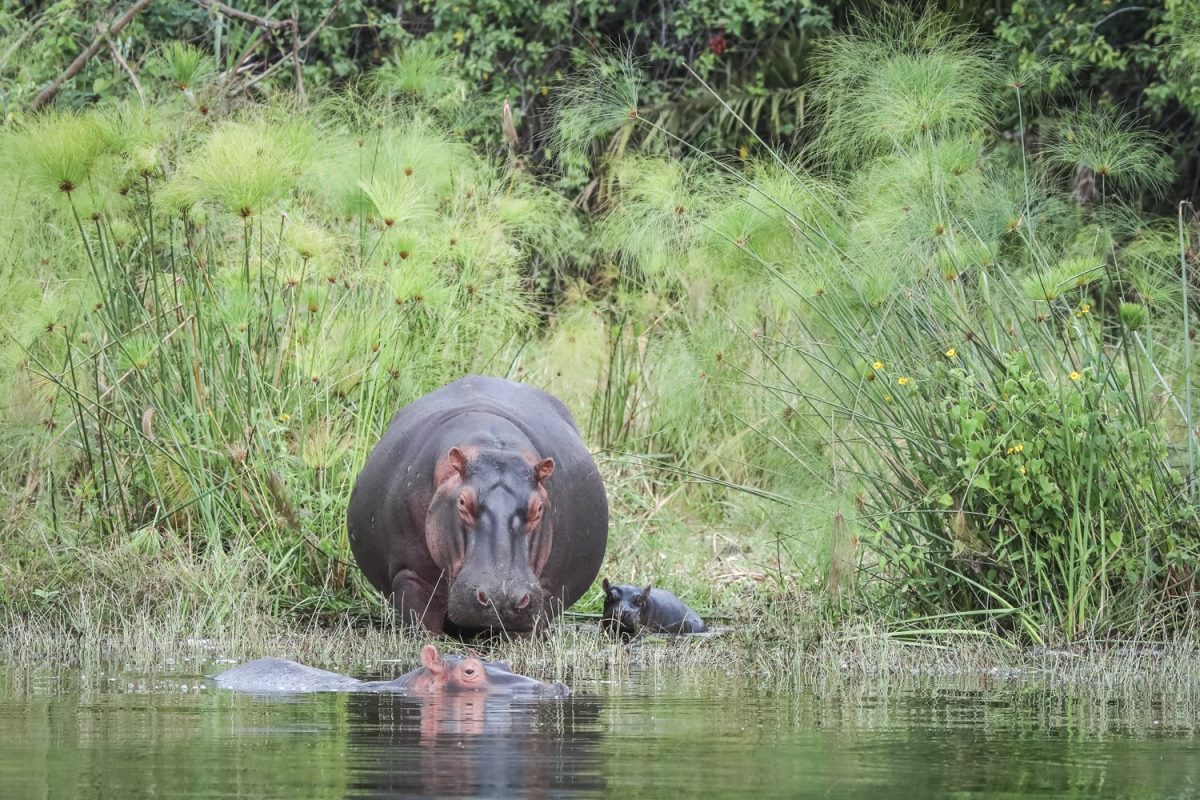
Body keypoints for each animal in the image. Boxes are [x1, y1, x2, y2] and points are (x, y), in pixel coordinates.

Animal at [348, 376, 609, 638]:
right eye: (463, 502)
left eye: (538, 509)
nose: (500, 598)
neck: (494, 449)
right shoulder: (411, 573)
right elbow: (421, 621)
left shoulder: (546, 587)